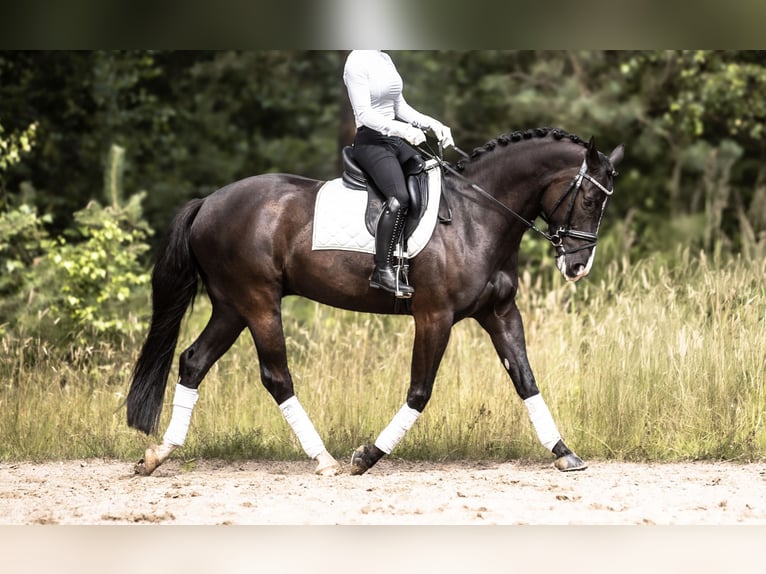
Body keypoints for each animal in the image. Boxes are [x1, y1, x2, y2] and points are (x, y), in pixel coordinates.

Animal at [129, 128, 628, 480]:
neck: (477, 217)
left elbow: (525, 380)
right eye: (588, 199)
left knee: (194, 361)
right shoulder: (434, 316)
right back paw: (325, 459)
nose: (577, 266)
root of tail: (208, 202)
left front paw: (564, 453)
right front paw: (367, 456)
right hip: (258, 303)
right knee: (276, 376)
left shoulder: (500, 313)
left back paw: (158, 455)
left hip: (232, 307)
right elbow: (420, 391)